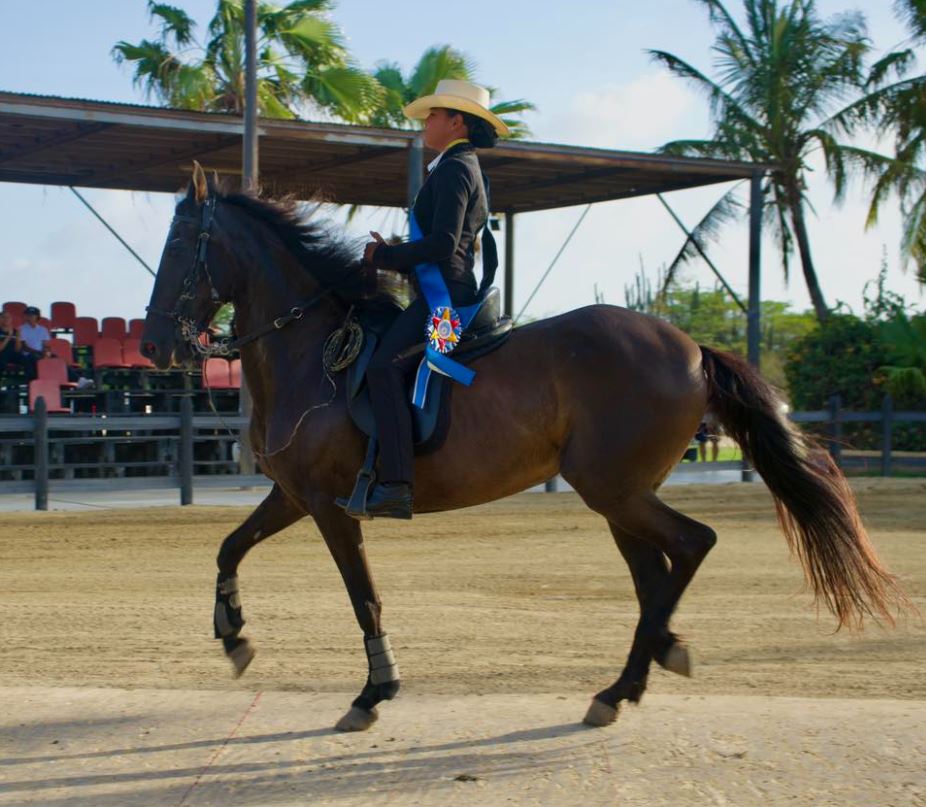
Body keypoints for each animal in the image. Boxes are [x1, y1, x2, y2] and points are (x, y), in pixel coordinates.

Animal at [143, 164, 908, 732]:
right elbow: (230, 546)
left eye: (178, 249)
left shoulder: (331, 506)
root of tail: (691, 347)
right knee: (653, 575)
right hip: (619, 494)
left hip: (613, 488)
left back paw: (635, 671)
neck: (311, 348)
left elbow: (364, 598)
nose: (153, 345)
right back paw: (634, 675)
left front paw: (373, 691)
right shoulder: (292, 493)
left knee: (691, 546)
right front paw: (233, 633)